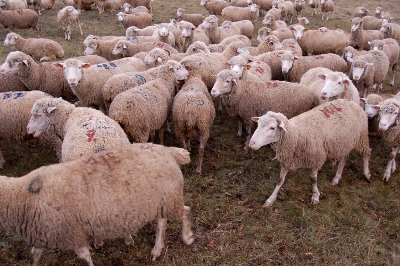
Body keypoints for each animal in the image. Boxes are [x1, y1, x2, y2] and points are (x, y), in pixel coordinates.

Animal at [0, 143, 194, 264]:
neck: (23, 196)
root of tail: (168, 151)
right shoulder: (44, 231)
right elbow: (34, 256)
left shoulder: (72, 233)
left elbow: (85, 257)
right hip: (163, 200)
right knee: (162, 222)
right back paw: (157, 249)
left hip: (170, 197)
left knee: (185, 211)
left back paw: (187, 237)